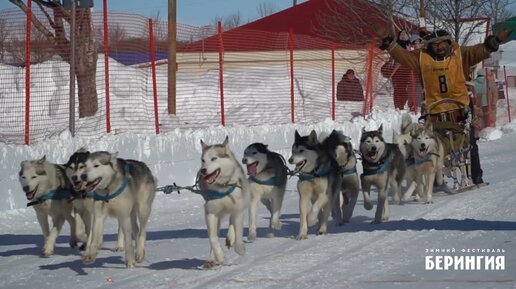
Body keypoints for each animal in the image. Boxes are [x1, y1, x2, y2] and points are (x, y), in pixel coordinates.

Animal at [199, 136, 249, 266]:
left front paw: (240, 248)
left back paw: (230, 238)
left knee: (232, 220)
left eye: (214, 158)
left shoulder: (238, 210)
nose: (203, 171)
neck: (222, 187)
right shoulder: (210, 212)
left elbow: (238, 231)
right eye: (203, 160)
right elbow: (212, 237)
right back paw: (212, 259)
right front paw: (220, 256)